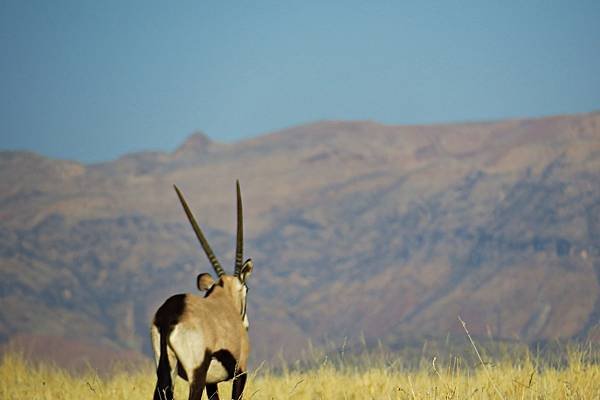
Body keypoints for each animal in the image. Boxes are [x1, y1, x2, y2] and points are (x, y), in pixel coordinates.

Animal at [152, 182, 253, 400]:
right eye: (247, 289)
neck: (224, 297)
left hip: (164, 371)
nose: (246, 324)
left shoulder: (211, 381)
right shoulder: (240, 371)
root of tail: (169, 316)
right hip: (196, 374)